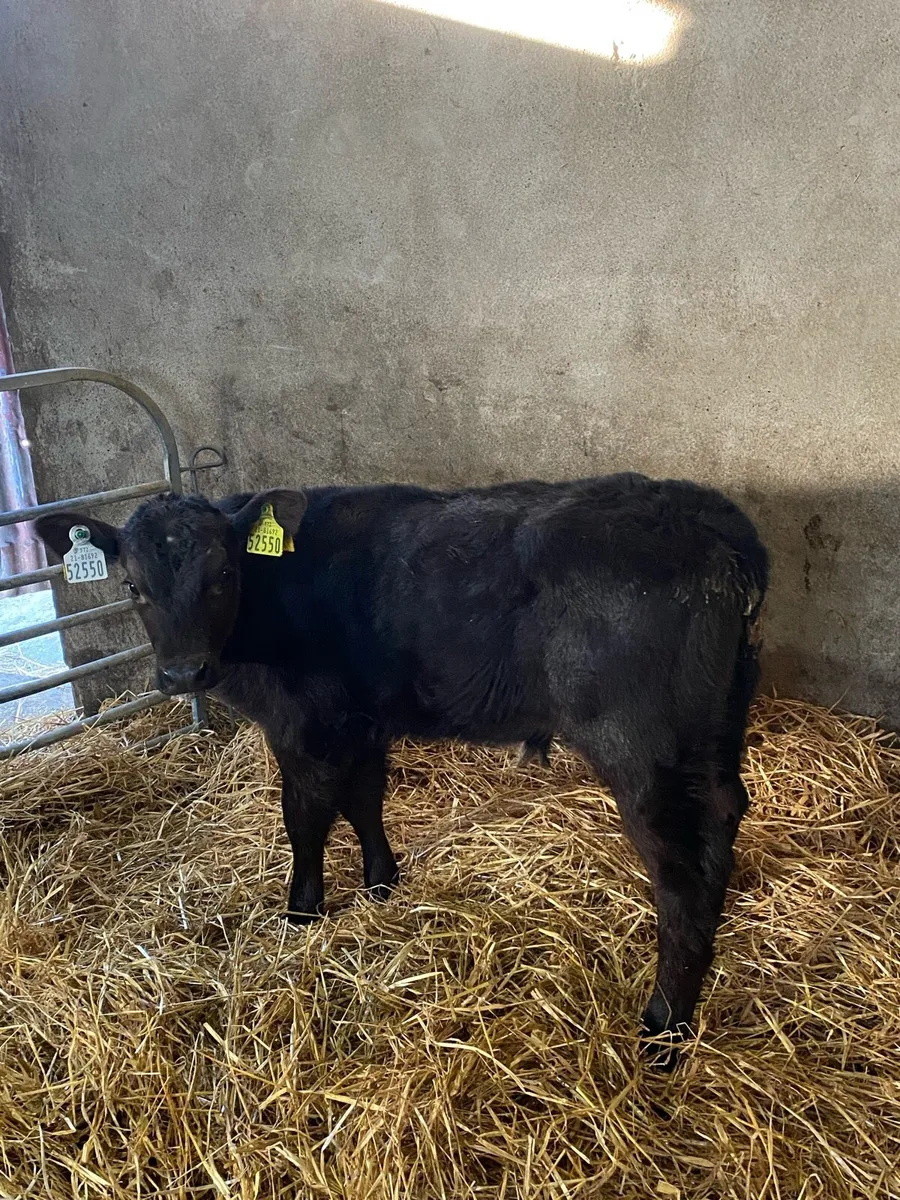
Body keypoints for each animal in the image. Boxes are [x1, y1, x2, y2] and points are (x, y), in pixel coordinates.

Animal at [35, 472, 768, 1063]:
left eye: (223, 577)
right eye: (133, 585)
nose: (184, 673)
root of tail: (707, 518)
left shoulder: (304, 722)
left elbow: (304, 817)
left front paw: (302, 913)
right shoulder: (361, 718)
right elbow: (364, 799)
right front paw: (380, 884)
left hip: (640, 746)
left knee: (678, 871)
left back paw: (665, 1027)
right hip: (714, 729)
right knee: (721, 822)